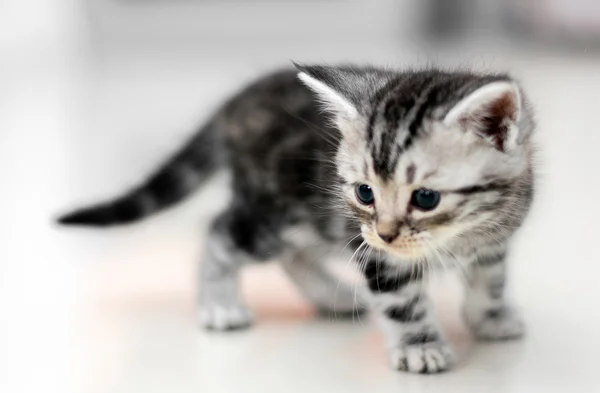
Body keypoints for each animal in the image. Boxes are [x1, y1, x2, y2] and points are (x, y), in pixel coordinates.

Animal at [57, 62, 536, 372]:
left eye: (426, 197)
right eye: (365, 192)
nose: (385, 232)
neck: (465, 232)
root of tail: (236, 100)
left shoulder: (495, 240)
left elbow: (491, 279)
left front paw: (490, 317)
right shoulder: (373, 249)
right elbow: (401, 300)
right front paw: (420, 346)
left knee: (295, 254)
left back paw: (332, 297)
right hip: (273, 213)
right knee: (220, 232)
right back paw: (220, 304)